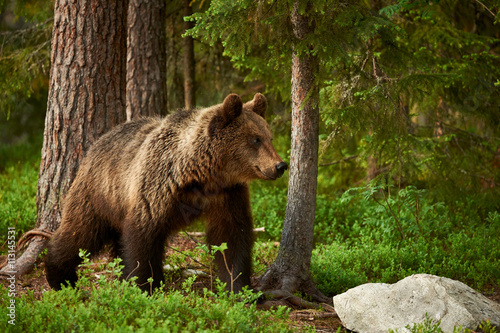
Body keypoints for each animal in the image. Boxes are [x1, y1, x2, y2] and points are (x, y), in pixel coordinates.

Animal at [45, 92, 288, 292]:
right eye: (255, 139)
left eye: (269, 137)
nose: (280, 165)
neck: (202, 173)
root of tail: (97, 142)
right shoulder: (158, 186)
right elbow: (143, 236)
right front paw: (143, 285)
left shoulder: (227, 194)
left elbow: (232, 236)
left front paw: (239, 287)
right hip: (99, 193)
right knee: (81, 232)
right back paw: (60, 276)